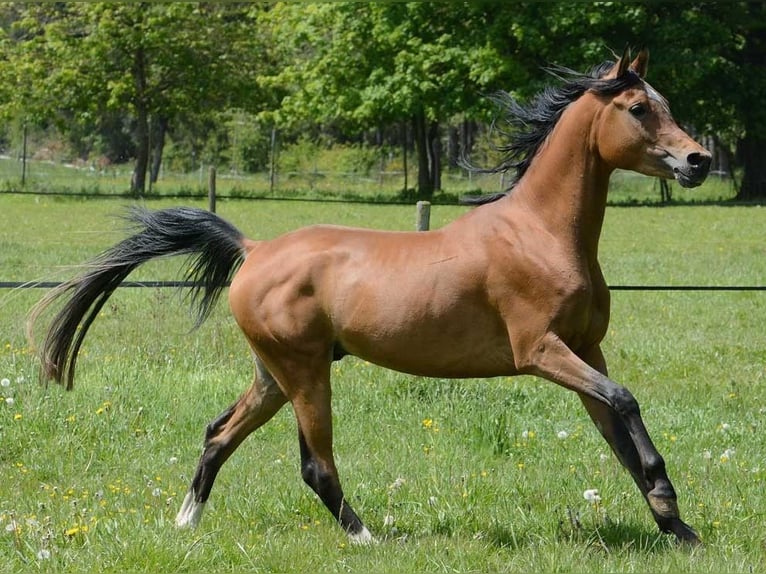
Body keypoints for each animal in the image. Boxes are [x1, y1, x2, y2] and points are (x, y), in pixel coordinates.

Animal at [28, 48, 712, 544]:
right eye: (637, 108)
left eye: (665, 104)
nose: (698, 160)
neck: (541, 232)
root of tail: (254, 249)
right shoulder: (540, 351)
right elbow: (625, 402)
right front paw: (668, 501)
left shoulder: (586, 351)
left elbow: (619, 432)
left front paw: (678, 528)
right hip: (304, 373)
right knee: (314, 465)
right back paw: (366, 538)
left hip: (275, 375)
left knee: (218, 433)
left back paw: (185, 523)